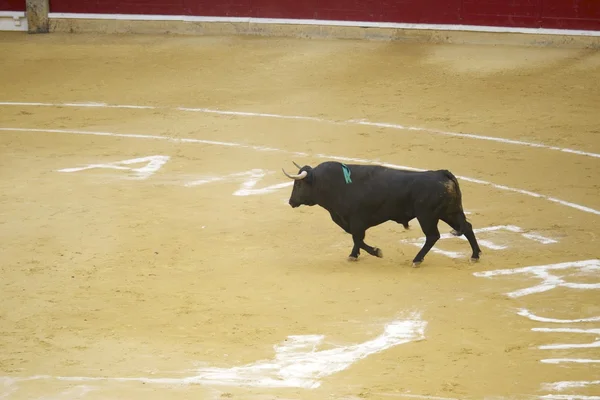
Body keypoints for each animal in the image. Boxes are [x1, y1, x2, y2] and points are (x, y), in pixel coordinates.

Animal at [282, 161, 482, 268]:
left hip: (427, 216)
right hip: (450, 212)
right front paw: (354, 255)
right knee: (467, 227)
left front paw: (376, 252)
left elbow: (357, 238)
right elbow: (356, 239)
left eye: (298, 184)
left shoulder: (356, 220)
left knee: (433, 236)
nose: (291, 202)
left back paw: (417, 260)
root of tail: (442, 174)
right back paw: (475, 255)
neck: (336, 184)